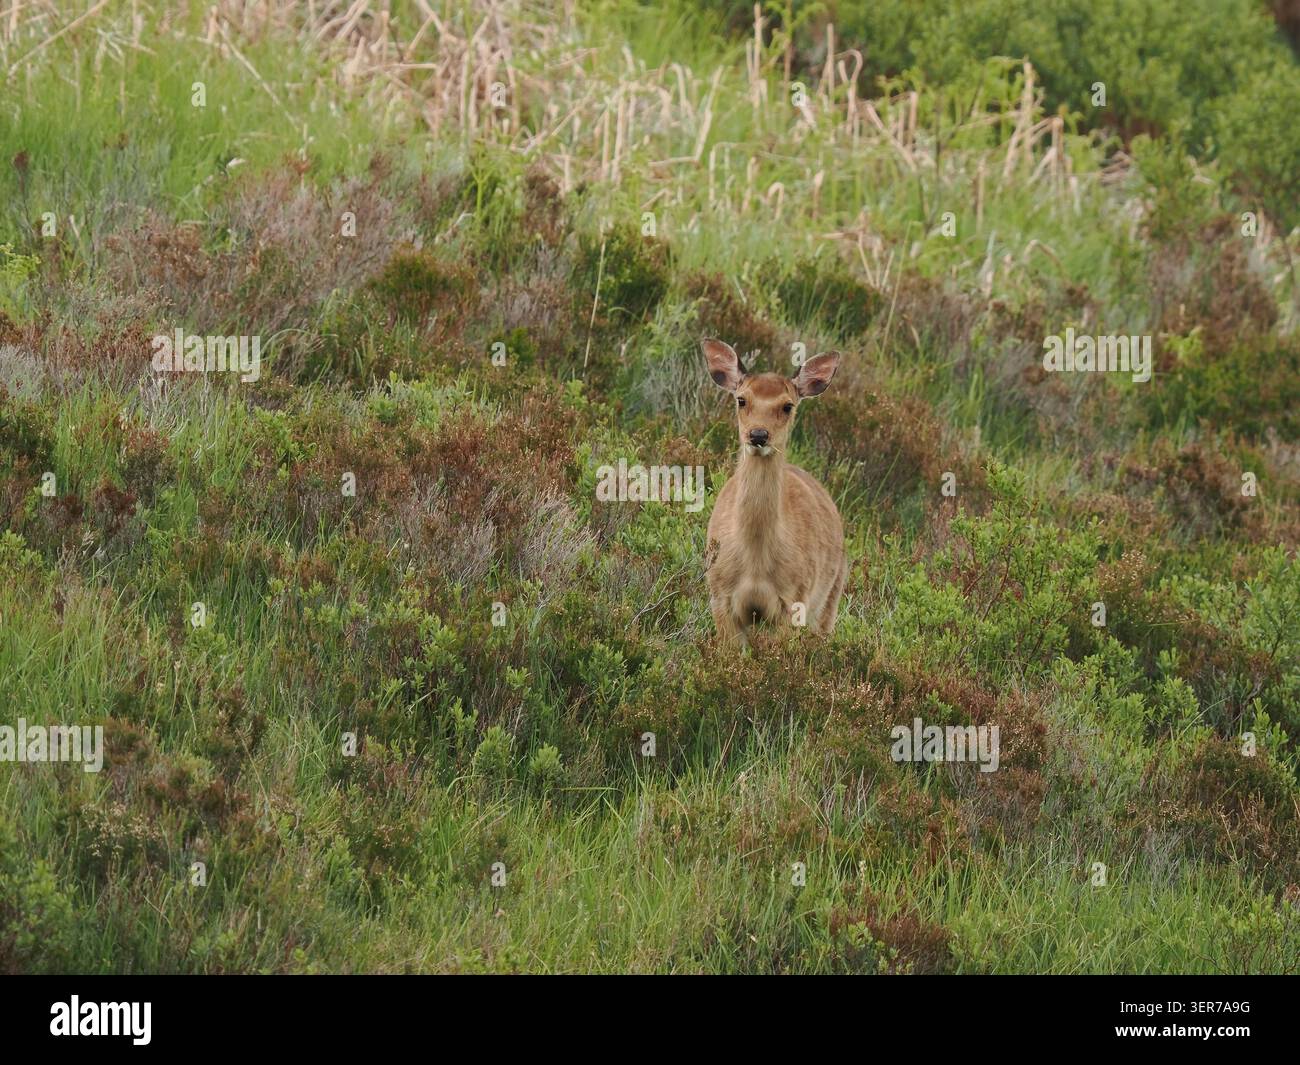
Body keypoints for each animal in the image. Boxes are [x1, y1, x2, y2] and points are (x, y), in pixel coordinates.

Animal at [701, 338, 848, 646]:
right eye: (741, 399)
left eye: (787, 405)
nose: (758, 435)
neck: (756, 564)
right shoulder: (720, 595)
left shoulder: (794, 600)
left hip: (831, 597)